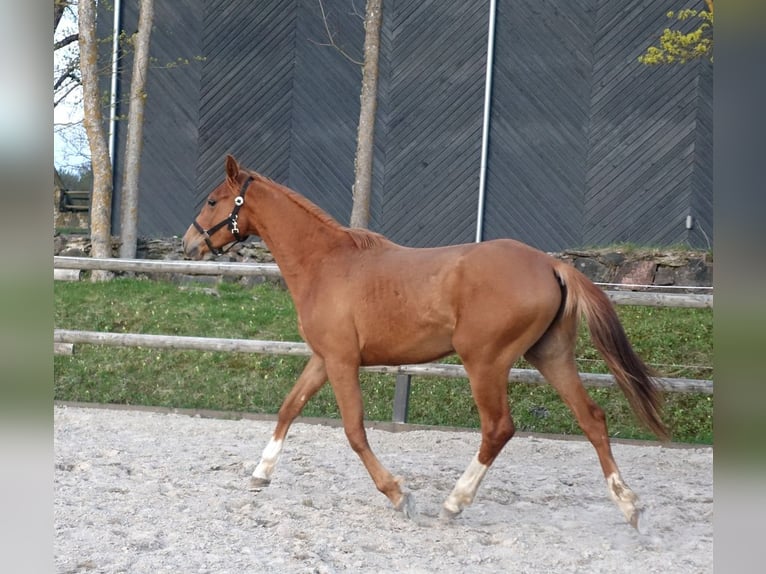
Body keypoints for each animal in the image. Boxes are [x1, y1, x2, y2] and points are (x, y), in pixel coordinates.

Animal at [183, 155, 668, 528]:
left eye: (212, 200)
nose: (189, 244)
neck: (327, 264)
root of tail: (552, 264)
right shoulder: (323, 359)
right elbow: (289, 408)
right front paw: (260, 474)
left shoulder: (341, 361)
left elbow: (354, 430)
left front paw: (399, 495)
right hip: (550, 355)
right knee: (592, 418)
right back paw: (629, 506)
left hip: (485, 362)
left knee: (499, 428)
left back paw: (454, 503)